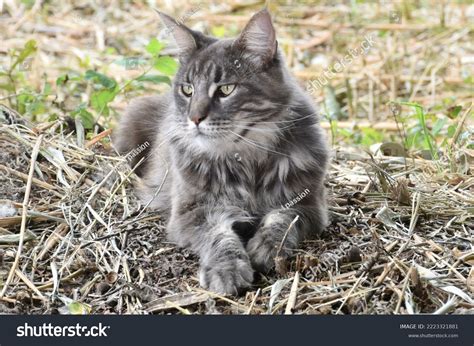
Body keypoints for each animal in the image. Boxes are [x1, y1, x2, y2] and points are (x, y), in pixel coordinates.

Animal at [115, 8, 330, 294]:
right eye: (187, 90)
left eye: (226, 89)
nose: (194, 118)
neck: (247, 157)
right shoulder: (191, 212)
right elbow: (219, 237)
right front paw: (227, 270)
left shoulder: (307, 205)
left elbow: (281, 220)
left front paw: (265, 247)